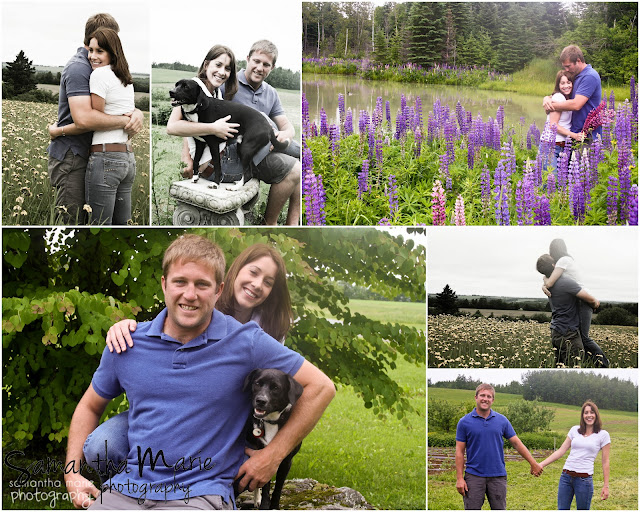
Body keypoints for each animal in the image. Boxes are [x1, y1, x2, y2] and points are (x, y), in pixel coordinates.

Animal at [240, 368, 304, 508]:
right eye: (257, 383)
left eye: (276, 388)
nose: (260, 400)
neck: (271, 422)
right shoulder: (263, 458)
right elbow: (265, 486)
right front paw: (264, 505)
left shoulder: (286, 461)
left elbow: (278, 487)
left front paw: (274, 506)